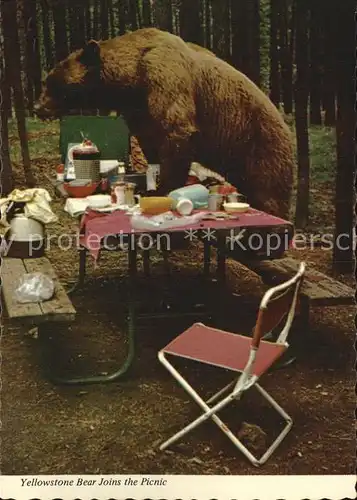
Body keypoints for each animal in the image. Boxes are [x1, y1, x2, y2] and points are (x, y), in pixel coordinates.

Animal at [34, 27, 294, 218]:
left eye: (53, 83)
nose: (37, 107)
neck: (131, 81)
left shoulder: (166, 78)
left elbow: (177, 132)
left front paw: (164, 189)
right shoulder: (138, 111)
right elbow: (150, 143)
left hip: (260, 145)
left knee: (268, 190)